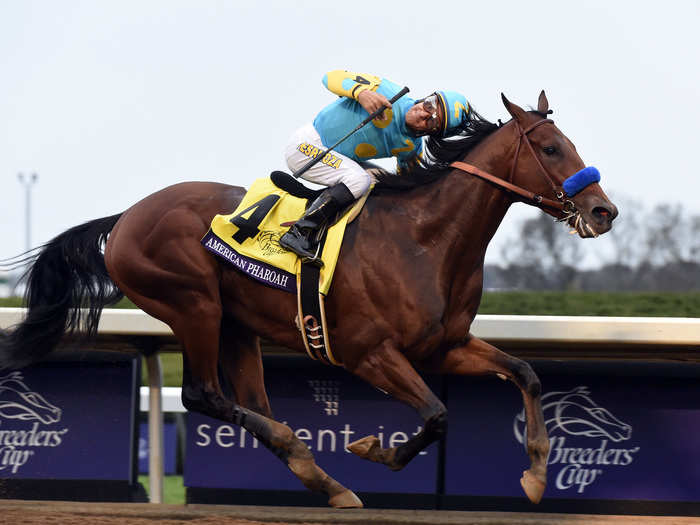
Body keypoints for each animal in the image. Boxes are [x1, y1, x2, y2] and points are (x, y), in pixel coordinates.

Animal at [0, 93, 616, 508]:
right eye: (550, 147)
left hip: (237, 325)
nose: (604, 210)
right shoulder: (368, 352)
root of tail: (126, 216)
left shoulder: (445, 346)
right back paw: (313, 464)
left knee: (248, 400)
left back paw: (318, 475)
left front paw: (536, 474)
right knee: (203, 394)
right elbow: (437, 415)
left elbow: (525, 373)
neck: (424, 239)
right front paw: (375, 450)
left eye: (571, 145)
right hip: (193, 304)